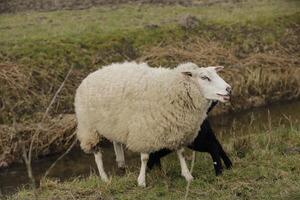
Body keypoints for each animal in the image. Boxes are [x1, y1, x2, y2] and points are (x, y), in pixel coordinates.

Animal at [74, 61, 230, 186]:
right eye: (204, 77)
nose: (229, 89)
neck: (171, 88)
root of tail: (91, 74)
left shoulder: (177, 129)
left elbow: (181, 153)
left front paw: (187, 176)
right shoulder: (145, 131)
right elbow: (144, 158)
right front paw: (141, 181)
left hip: (114, 124)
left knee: (116, 141)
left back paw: (121, 163)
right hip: (89, 128)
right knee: (97, 154)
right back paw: (104, 177)